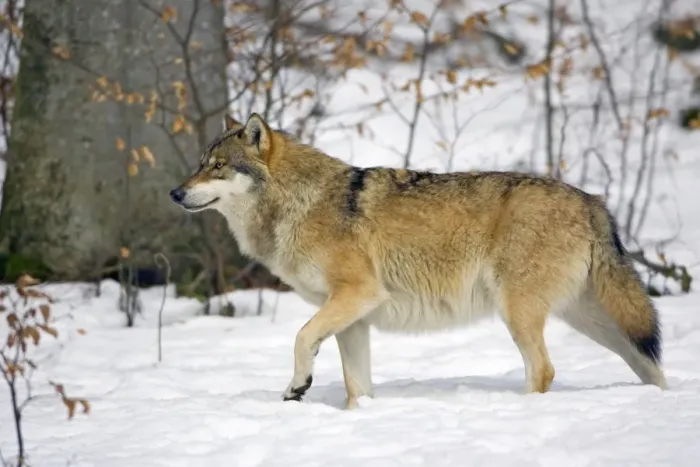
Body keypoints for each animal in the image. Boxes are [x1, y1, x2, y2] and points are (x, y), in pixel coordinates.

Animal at [170, 113, 668, 409]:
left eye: (218, 167)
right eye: (200, 164)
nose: (175, 192)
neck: (301, 202)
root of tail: (593, 201)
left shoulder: (356, 295)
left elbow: (300, 337)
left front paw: (297, 386)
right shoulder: (354, 319)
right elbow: (357, 386)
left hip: (519, 313)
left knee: (543, 370)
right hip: (596, 322)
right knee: (649, 364)